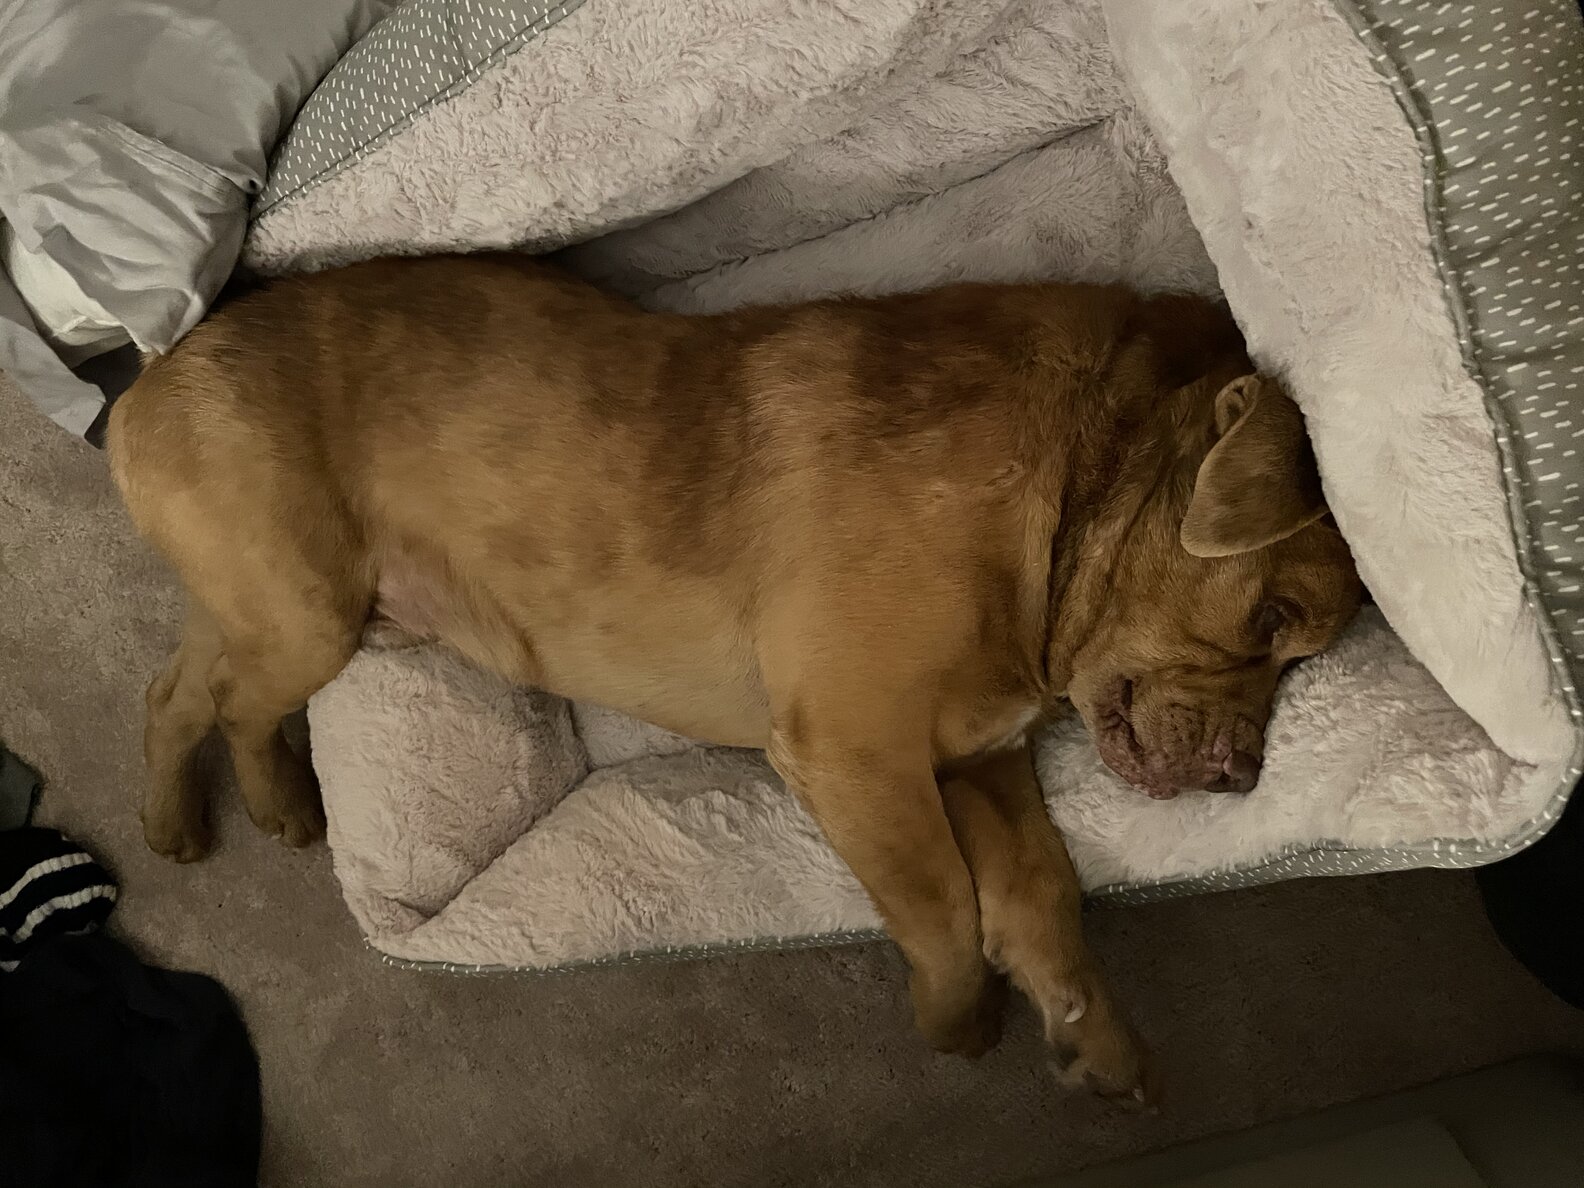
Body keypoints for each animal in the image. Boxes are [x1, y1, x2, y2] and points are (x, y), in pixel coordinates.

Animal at [108, 255, 1362, 1102]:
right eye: (1276, 619)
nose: (1242, 775)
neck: (1072, 481)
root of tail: (144, 390)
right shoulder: (858, 753)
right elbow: (946, 910)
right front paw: (958, 1027)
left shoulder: (981, 763)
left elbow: (1042, 897)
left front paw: (1091, 1034)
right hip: (307, 616)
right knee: (221, 704)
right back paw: (224, 809)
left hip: (277, 610)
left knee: (178, 693)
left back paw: (217, 812)